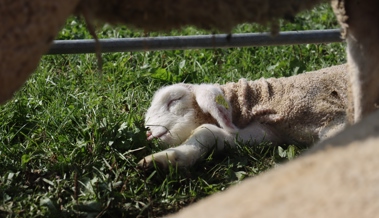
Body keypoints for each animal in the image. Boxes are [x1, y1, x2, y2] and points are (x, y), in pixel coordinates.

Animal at [138, 64, 348, 169]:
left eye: (174, 100)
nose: (147, 131)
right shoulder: (269, 130)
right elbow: (207, 131)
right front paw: (164, 159)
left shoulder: (334, 119)